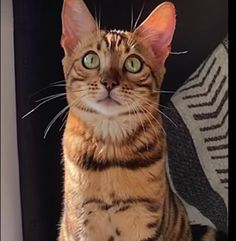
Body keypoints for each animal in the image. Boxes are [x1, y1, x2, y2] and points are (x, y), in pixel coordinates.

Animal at [57, 0, 227, 241]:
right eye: (90, 59)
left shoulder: (145, 217)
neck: (110, 155)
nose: (108, 82)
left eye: (133, 64)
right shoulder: (81, 220)